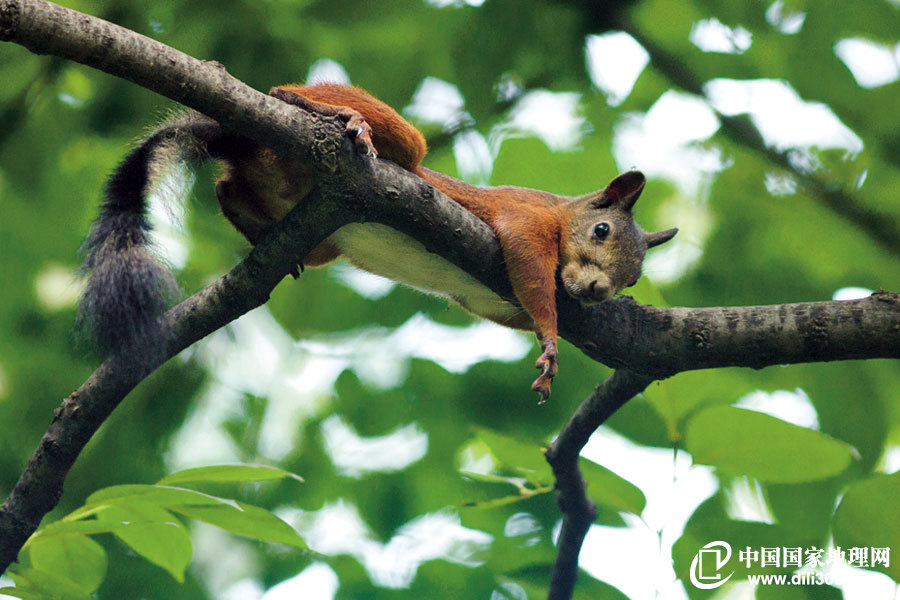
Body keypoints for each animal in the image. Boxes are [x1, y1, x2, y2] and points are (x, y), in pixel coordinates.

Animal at [81, 83, 676, 404]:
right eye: (601, 231)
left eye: (634, 276)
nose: (598, 291)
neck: (559, 215)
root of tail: (248, 144)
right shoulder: (523, 220)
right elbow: (530, 272)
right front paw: (551, 343)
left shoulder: (489, 302)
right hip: (395, 146)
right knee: (309, 106)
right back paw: (325, 110)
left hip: (316, 235)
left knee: (228, 189)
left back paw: (259, 229)